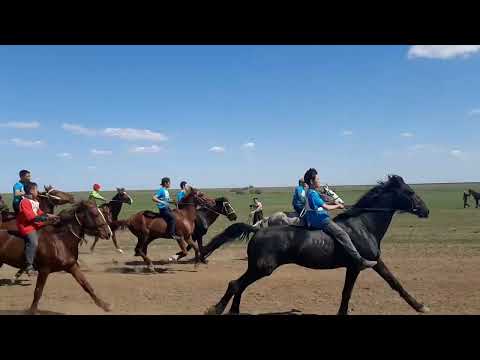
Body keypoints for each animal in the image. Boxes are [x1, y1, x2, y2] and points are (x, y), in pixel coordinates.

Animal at [203, 175, 432, 316]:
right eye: (410, 192)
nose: (426, 210)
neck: (364, 225)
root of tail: (258, 229)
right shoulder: (366, 263)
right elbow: (394, 283)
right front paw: (421, 306)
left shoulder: (354, 267)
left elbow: (348, 292)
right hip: (262, 268)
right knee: (235, 284)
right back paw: (216, 309)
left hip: (257, 268)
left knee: (238, 285)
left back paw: (232, 310)